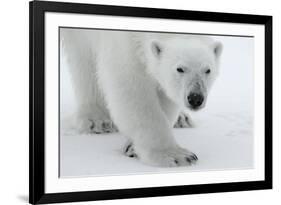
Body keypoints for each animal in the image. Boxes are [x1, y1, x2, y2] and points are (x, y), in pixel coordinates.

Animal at [61, 28, 221, 167]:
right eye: (179, 69)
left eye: (208, 70)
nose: (195, 98)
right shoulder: (121, 42)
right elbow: (130, 86)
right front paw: (176, 156)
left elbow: (163, 92)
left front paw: (132, 147)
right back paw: (97, 120)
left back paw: (182, 119)